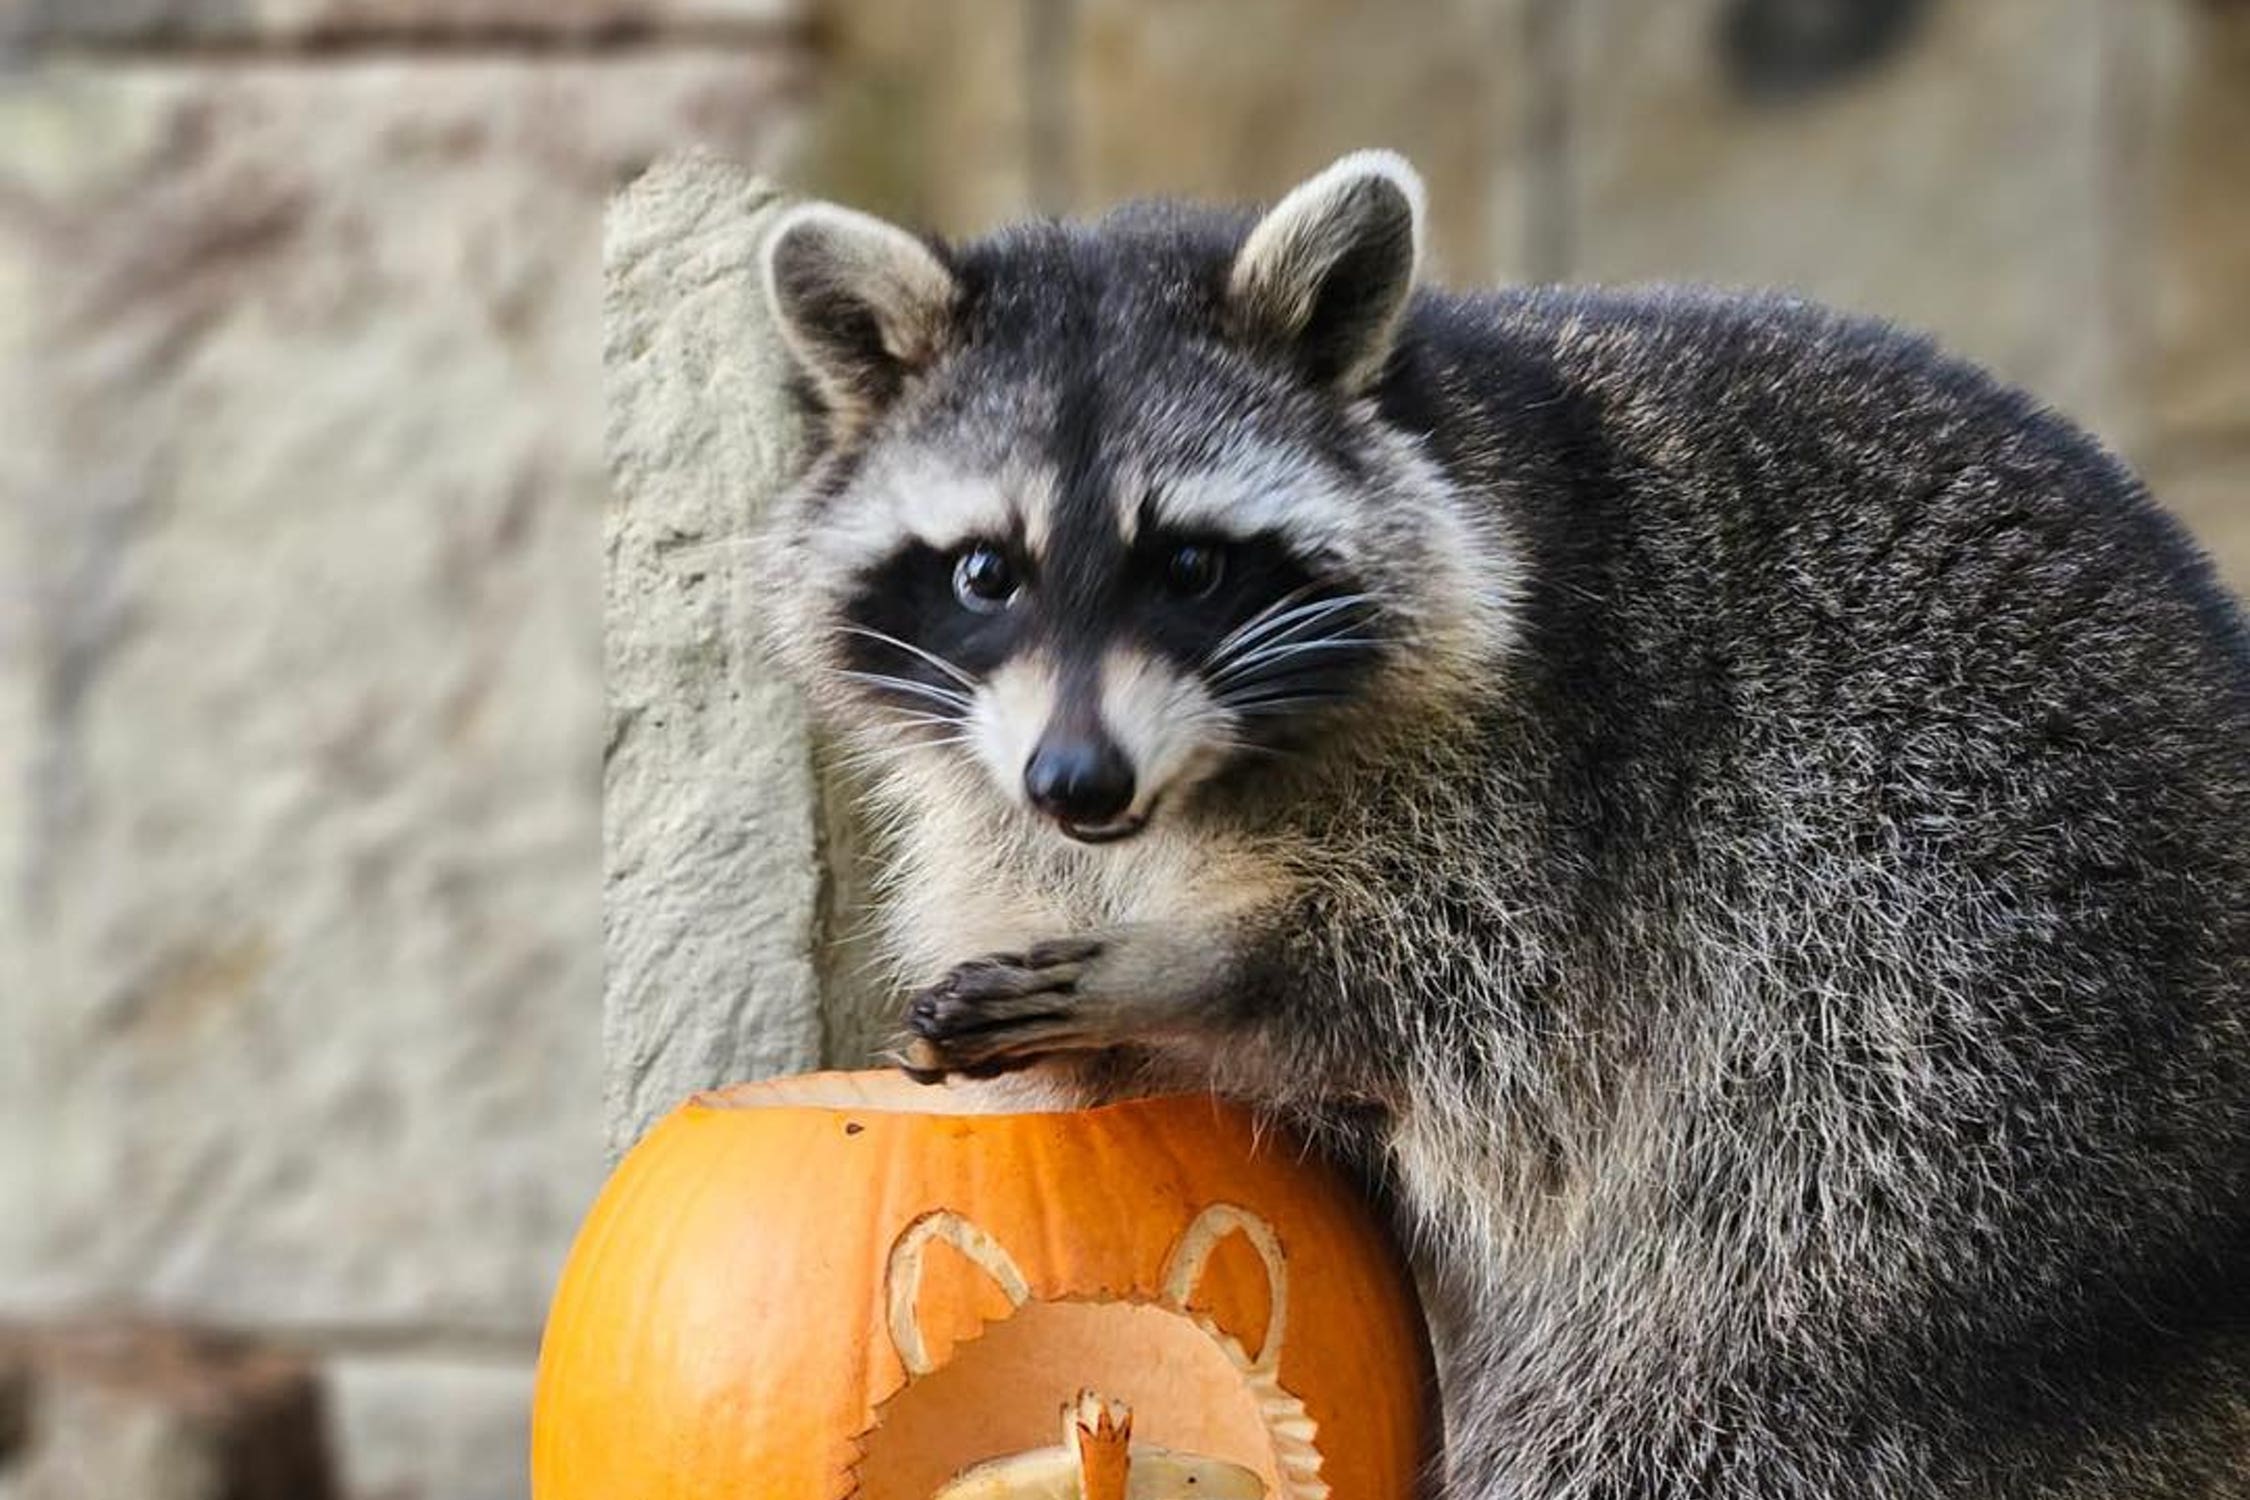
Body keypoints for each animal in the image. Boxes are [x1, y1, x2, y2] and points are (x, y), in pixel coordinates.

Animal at [760, 155, 2250, 1500]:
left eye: (1187, 565)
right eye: (983, 573)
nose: (1078, 781)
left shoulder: (1562, 779)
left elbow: (1451, 997)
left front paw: (1191, 973)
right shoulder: (1002, 810)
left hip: (1940, 1074)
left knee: (1692, 1399)